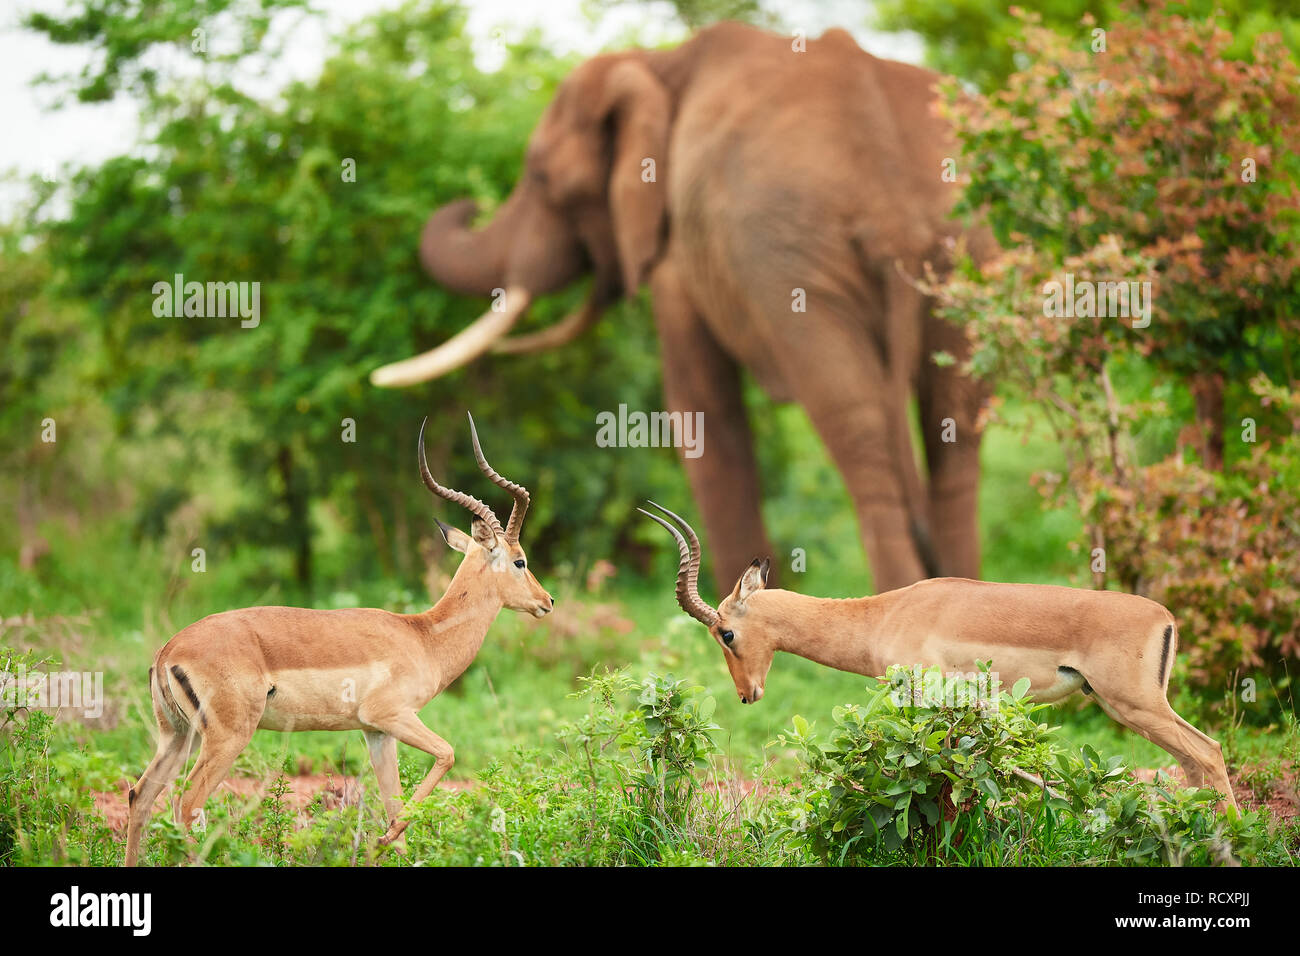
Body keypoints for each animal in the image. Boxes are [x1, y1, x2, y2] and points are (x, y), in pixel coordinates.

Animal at [371, 18, 987, 595]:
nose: (467, 204)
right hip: (962, 251)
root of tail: (893, 215)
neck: (659, 61)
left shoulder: (677, 254)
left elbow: (699, 404)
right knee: (955, 433)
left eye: (545, 178)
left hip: (793, 261)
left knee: (856, 426)